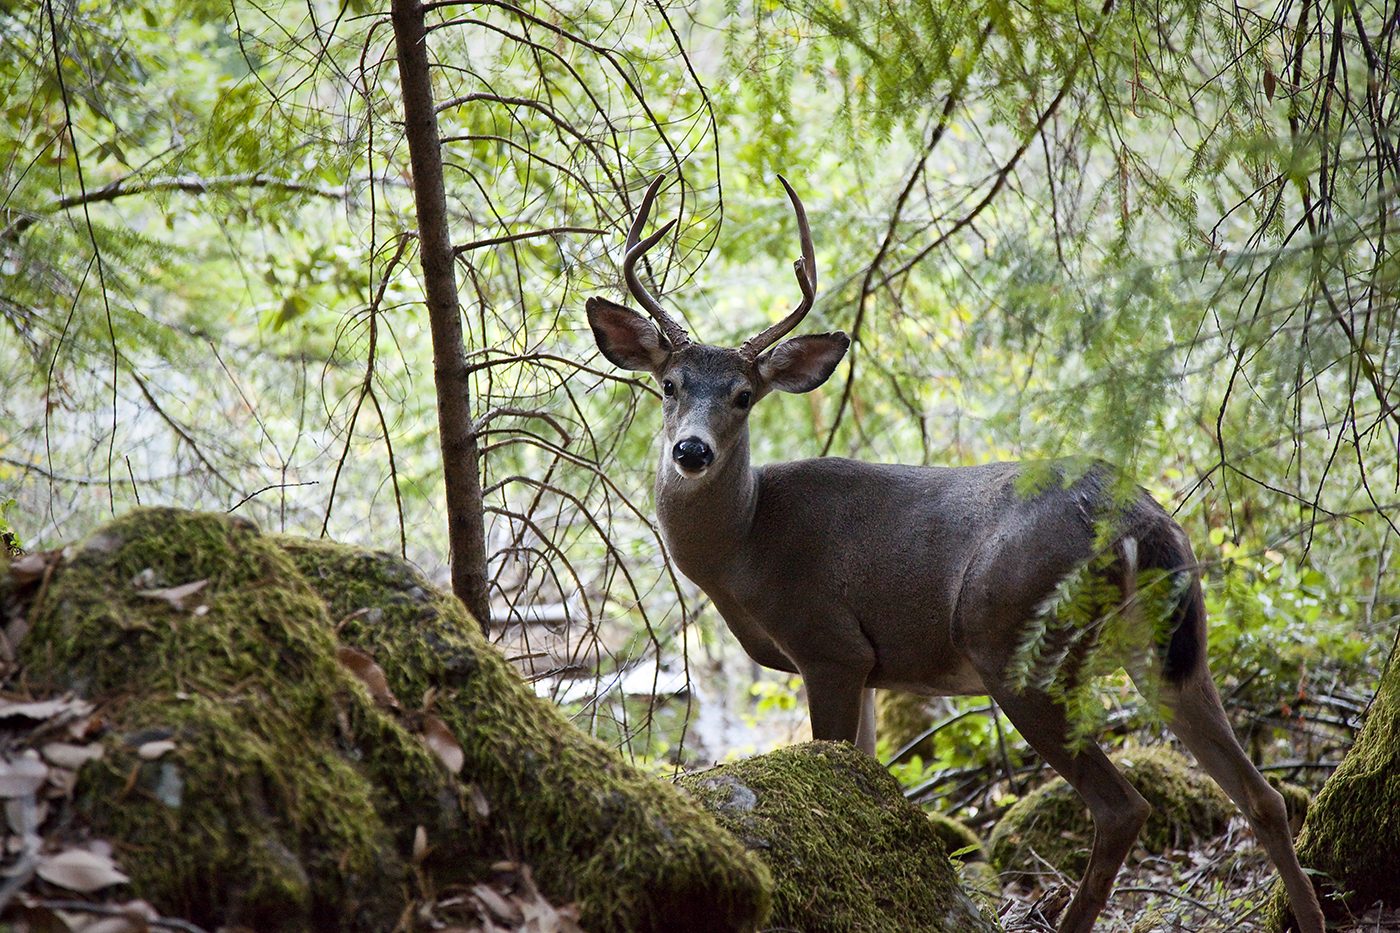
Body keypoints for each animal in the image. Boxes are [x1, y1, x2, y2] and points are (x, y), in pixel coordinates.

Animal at [585, 176, 1327, 930]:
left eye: (743, 395)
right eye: (669, 385)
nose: (691, 450)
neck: (747, 544)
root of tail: (1136, 515)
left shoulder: (829, 644)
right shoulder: (870, 669)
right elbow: (864, 774)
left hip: (1015, 644)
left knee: (1124, 806)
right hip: (1172, 647)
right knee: (1263, 796)